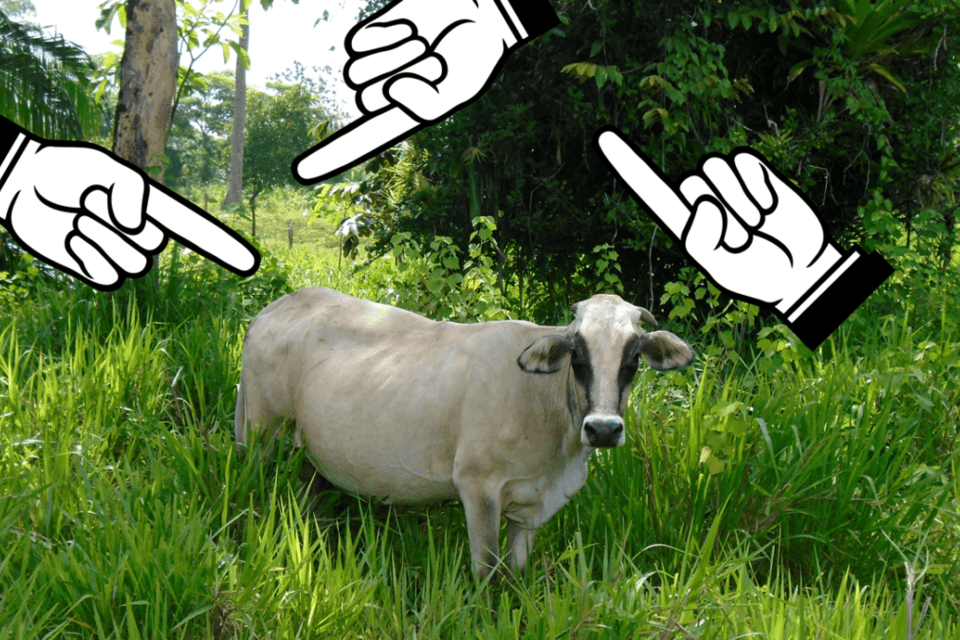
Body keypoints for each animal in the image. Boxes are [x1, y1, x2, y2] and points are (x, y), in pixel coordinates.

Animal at [235, 288, 694, 577]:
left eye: (633, 358)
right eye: (576, 355)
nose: (602, 429)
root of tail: (273, 307)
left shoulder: (534, 505)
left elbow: (515, 574)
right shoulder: (479, 486)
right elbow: (487, 574)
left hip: (307, 455)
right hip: (261, 437)